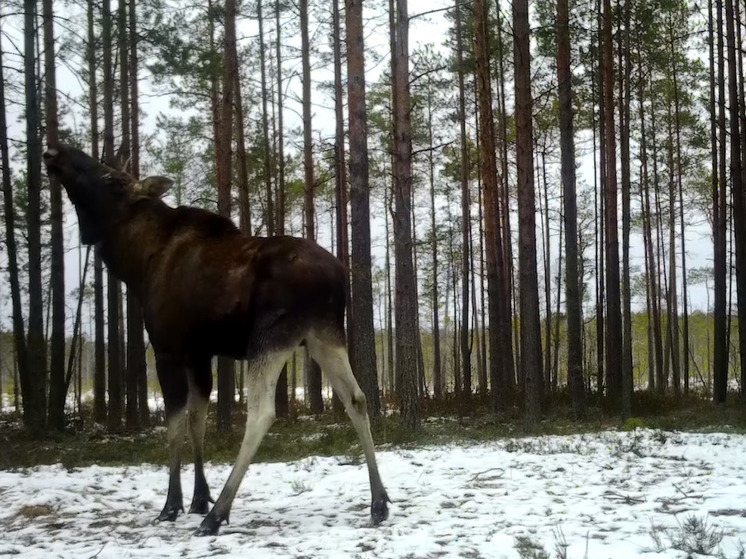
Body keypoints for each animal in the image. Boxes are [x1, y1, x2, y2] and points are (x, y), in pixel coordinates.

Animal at [42, 145, 390, 540]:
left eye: (111, 178)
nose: (56, 151)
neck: (137, 263)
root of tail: (338, 277)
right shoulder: (200, 355)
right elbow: (198, 421)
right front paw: (198, 497)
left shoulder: (167, 349)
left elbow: (175, 425)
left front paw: (173, 505)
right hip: (323, 336)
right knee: (356, 398)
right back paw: (379, 501)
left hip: (270, 336)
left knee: (263, 412)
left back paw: (218, 513)